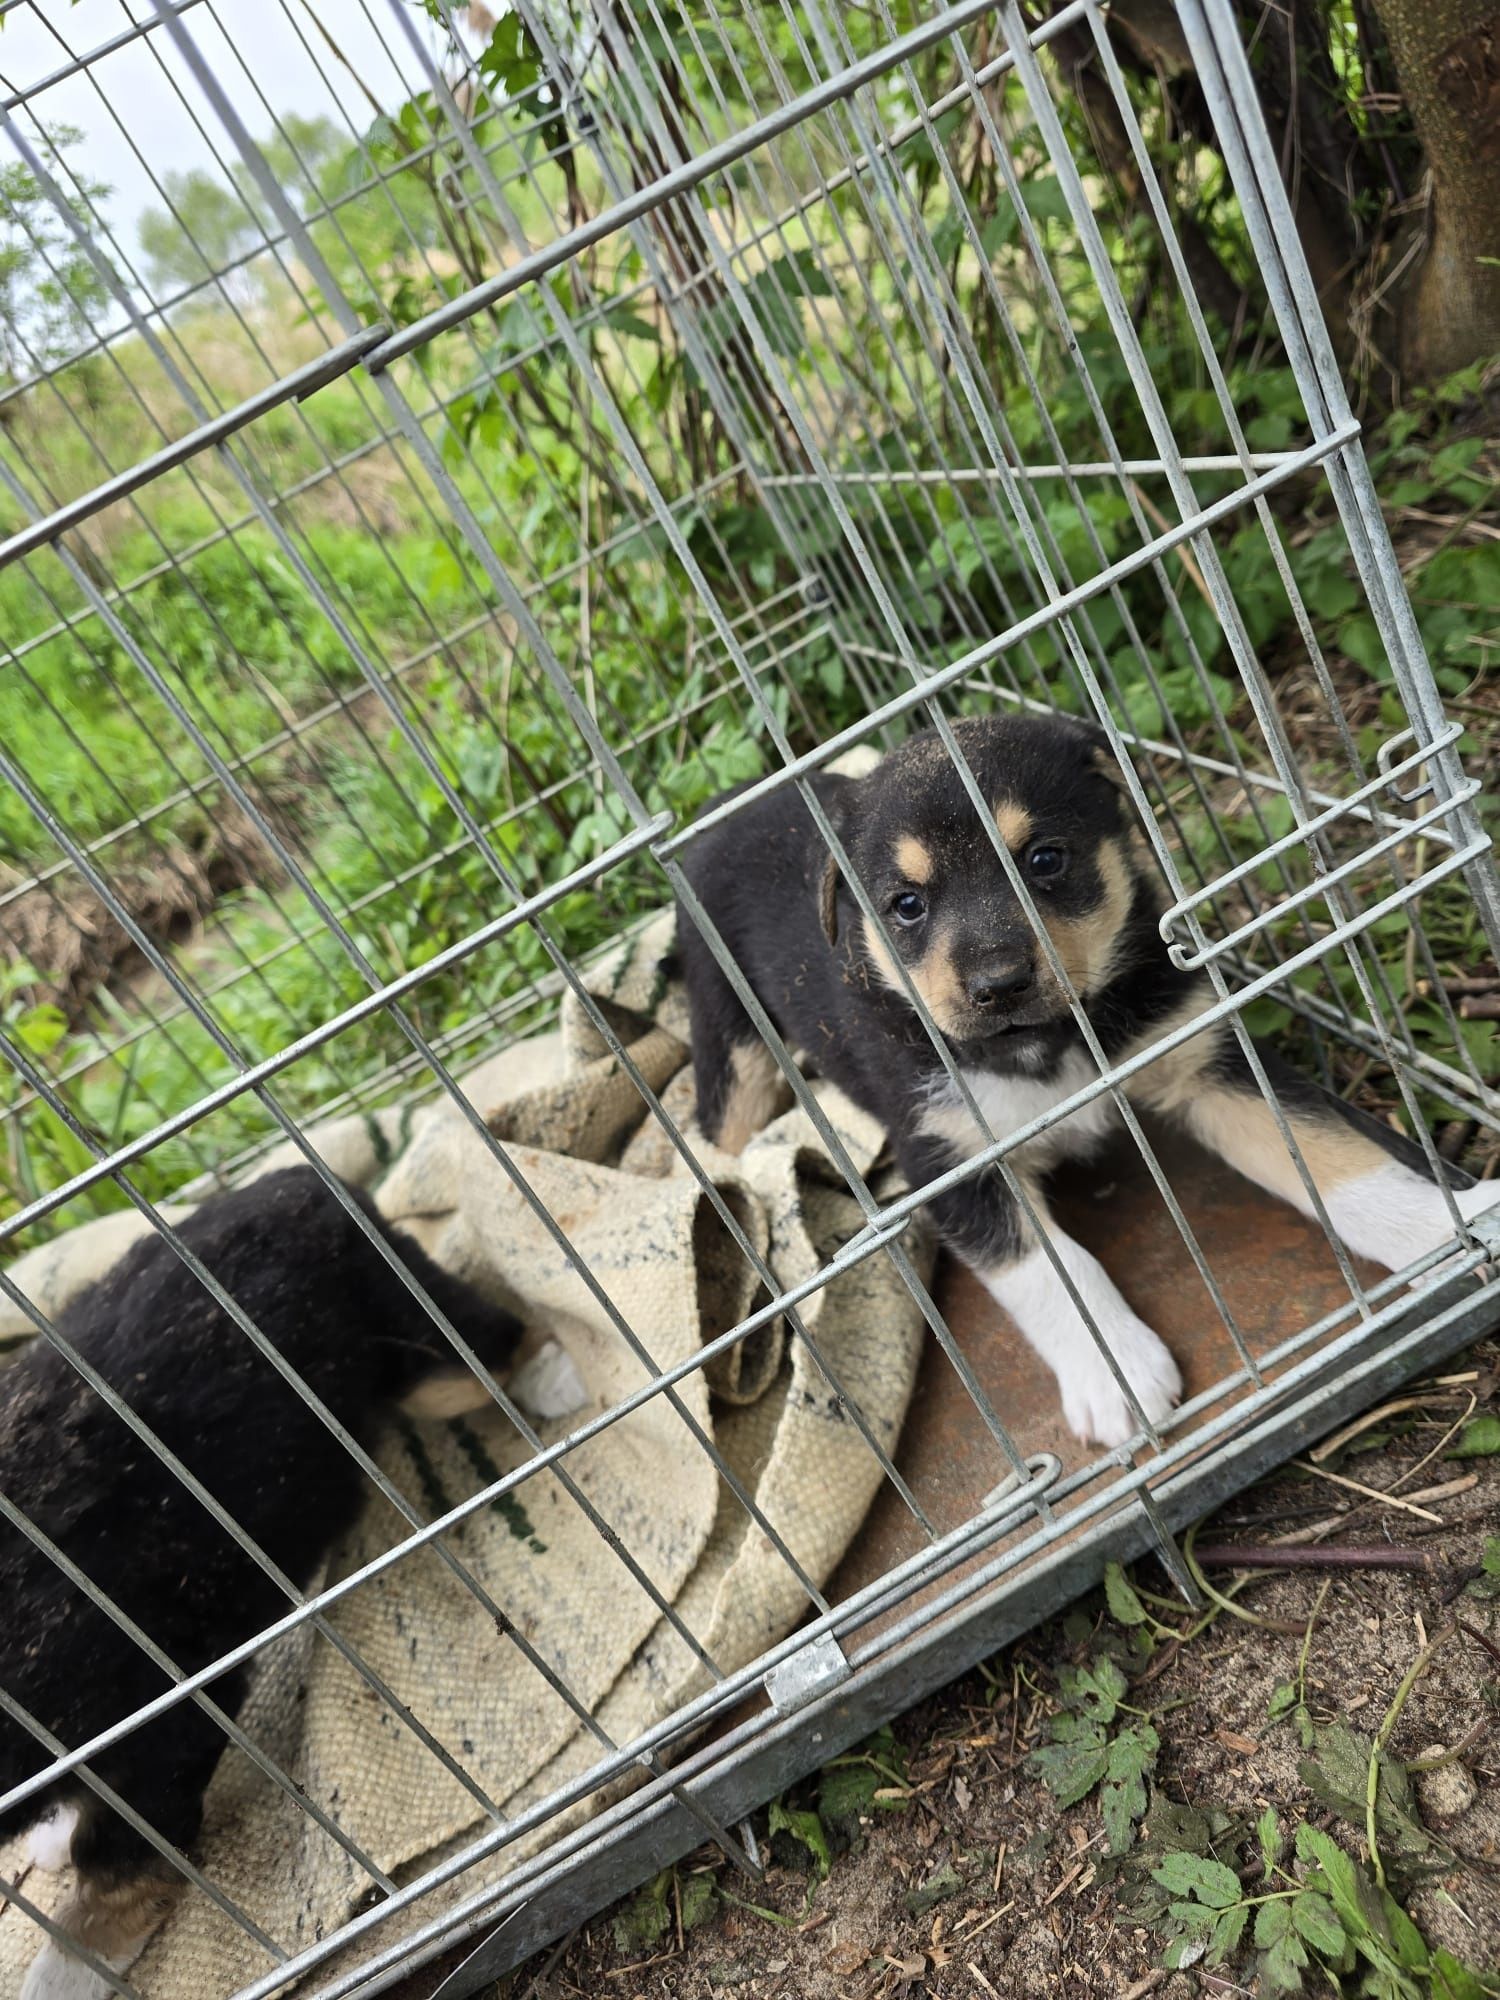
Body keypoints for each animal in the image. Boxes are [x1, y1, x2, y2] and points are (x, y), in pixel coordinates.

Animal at [0, 1168, 528, 1992]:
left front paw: (62, 1972)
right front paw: (54, 1832)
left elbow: (115, 1873)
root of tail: (300, 1181)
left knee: (500, 1347)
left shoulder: (167, 1719)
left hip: (421, 1343)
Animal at [680, 712, 1500, 1448]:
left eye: (1046, 860)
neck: (1046, 1044)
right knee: (721, 1131)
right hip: (734, 1039)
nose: (998, 984)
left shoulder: (1204, 1055)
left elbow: (1331, 1155)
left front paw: (1444, 1221)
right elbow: (1052, 1272)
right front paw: (1118, 1378)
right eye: (905, 906)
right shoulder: (950, 1161)